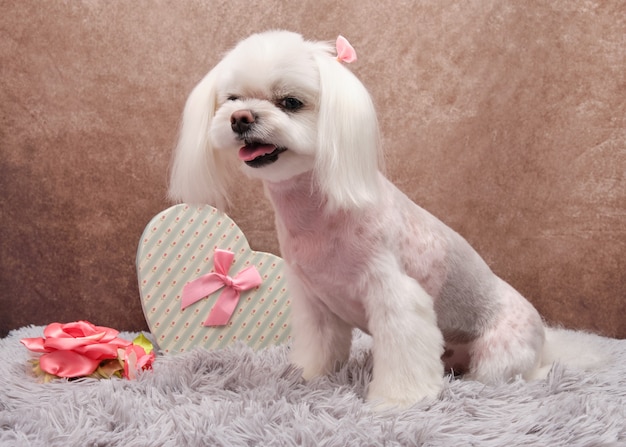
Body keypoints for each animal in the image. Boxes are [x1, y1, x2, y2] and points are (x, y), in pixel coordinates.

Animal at [168, 30, 604, 410]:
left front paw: (398, 401)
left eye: (290, 102)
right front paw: (306, 375)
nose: (240, 118)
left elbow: (403, 352)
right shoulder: (315, 302)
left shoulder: (397, 297)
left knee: (514, 374)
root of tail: (544, 338)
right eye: (232, 98)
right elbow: (318, 346)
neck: (314, 214)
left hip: (500, 357)